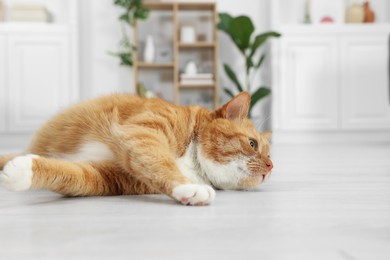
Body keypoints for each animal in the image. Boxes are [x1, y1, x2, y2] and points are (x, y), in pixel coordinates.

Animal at [0, 91, 272, 205]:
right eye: (252, 144)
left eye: (270, 155)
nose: (271, 167)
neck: (190, 161)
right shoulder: (144, 132)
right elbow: (161, 162)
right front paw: (190, 186)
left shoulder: (103, 177)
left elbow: (70, 174)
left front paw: (22, 171)